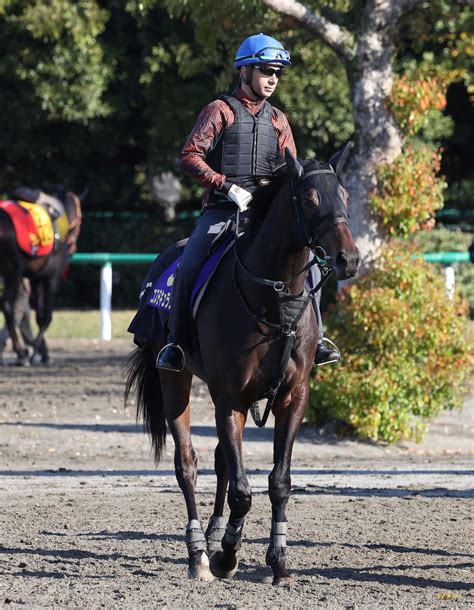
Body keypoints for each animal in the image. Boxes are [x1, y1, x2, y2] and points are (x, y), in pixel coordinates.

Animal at [0, 188, 81, 364]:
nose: (74, 247)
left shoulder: (35, 277)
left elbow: (37, 313)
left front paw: (41, 350)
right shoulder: (51, 277)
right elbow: (46, 316)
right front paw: (35, 350)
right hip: (12, 271)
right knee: (8, 306)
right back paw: (21, 351)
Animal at [126, 146, 360, 580]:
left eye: (344, 196)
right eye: (309, 198)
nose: (348, 259)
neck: (274, 300)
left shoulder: (292, 397)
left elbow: (279, 482)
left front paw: (278, 558)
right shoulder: (230, 398)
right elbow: (241, 490)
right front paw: (226, 556)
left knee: (220, 460)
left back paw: (216, 532)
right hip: (175, 380)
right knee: (187, 465)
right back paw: (199, 553)